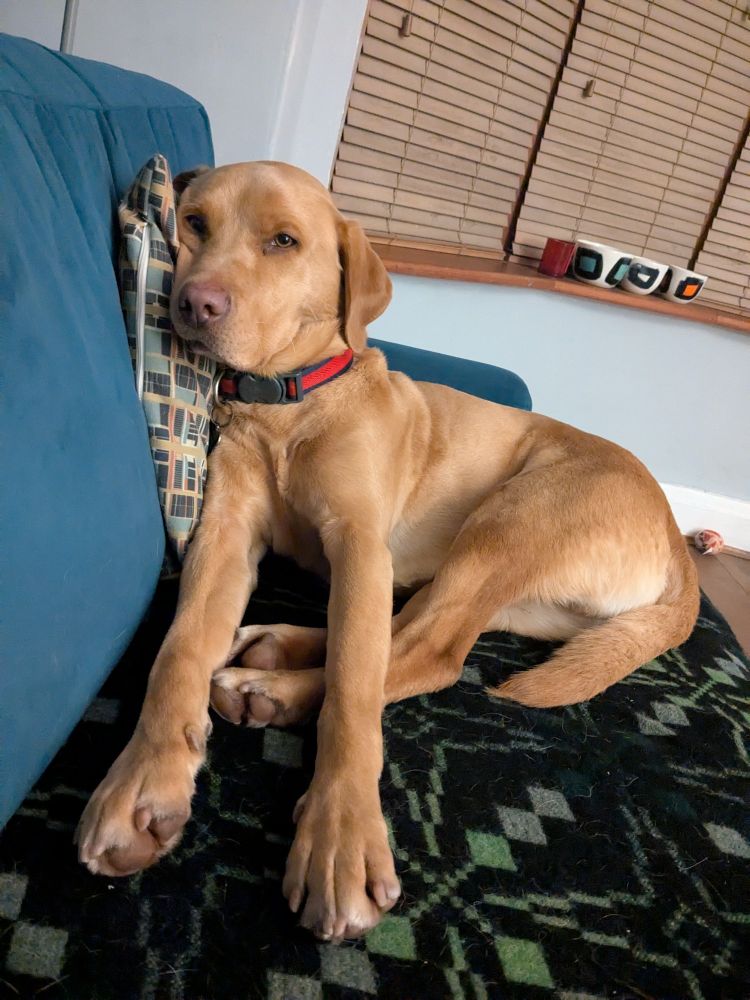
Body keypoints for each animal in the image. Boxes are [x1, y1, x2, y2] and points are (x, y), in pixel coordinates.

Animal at [77, 161, 699, 943]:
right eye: (193, 223)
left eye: (284, 241)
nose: (194, 303)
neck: (288, 405)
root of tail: (678, 541)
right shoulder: (223, 537)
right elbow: (181, 649)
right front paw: (141, 782)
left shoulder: (360, 545)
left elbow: (354, 688)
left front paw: (339, 835)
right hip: (502, 583)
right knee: (406, 632)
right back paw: (274, 652)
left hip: (507, 518)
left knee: (425, 654)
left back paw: (273, 686)